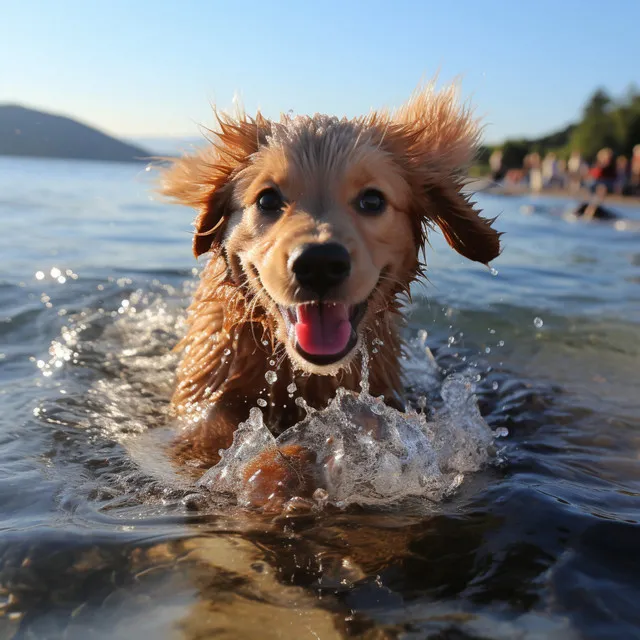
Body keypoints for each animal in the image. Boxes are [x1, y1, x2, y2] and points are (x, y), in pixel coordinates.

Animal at [162, 82, 502, 508]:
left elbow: (367, 425)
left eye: (372, 200)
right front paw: (272, 471)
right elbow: (212, 429)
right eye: (267, 199)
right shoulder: (205, 389)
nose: (319, 263)